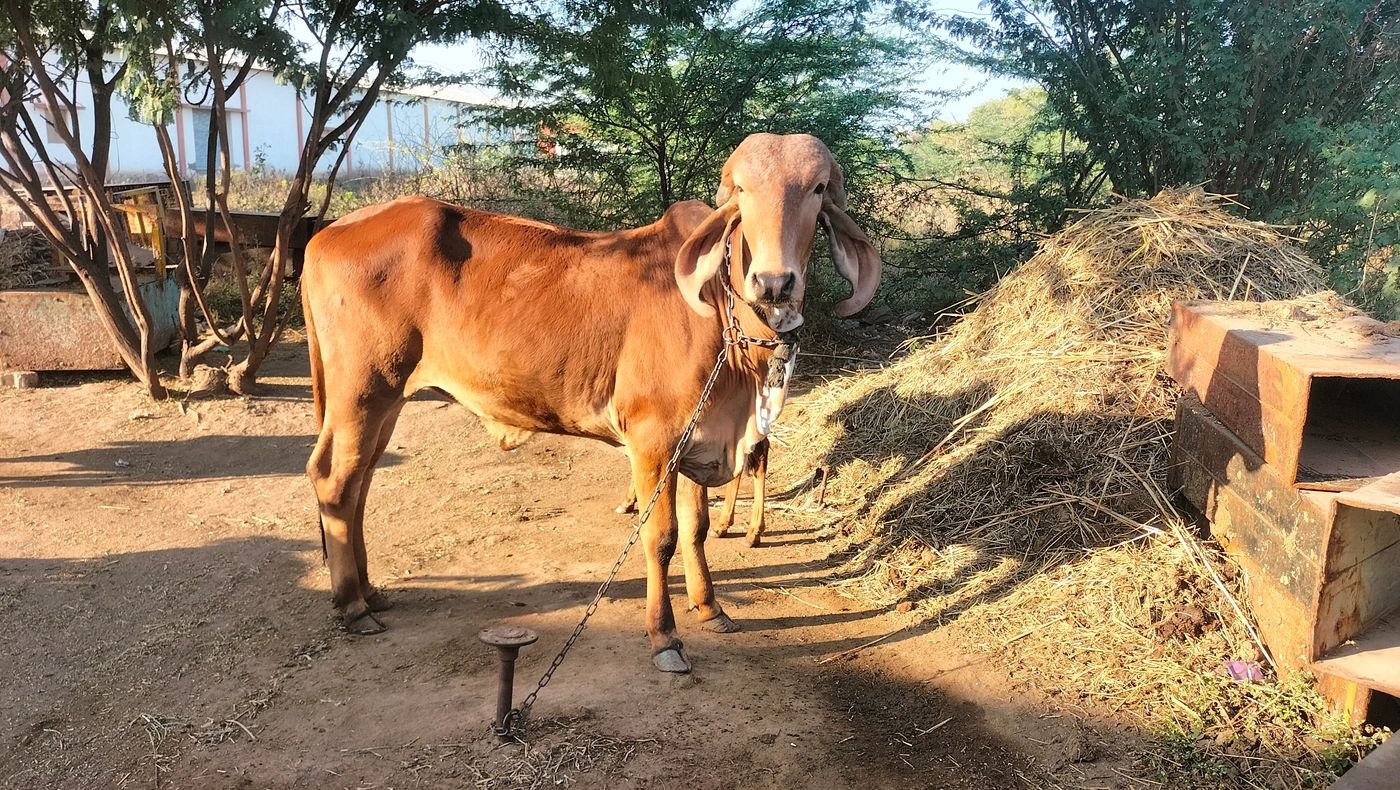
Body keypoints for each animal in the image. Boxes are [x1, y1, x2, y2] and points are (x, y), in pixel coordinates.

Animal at [300, 133, 880, 673]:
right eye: (741, 190)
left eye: (818, 189)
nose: (774, 282)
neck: (723, 322)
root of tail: (325, 234)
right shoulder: (652, 440)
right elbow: (661, 537)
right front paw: (665, 636)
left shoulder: (702, 436)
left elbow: (697, 527)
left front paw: (711, 607)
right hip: (362, 390)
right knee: (334, 479)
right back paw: (353, 606)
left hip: (385, 399)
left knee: (360, 481)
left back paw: (369, 592)